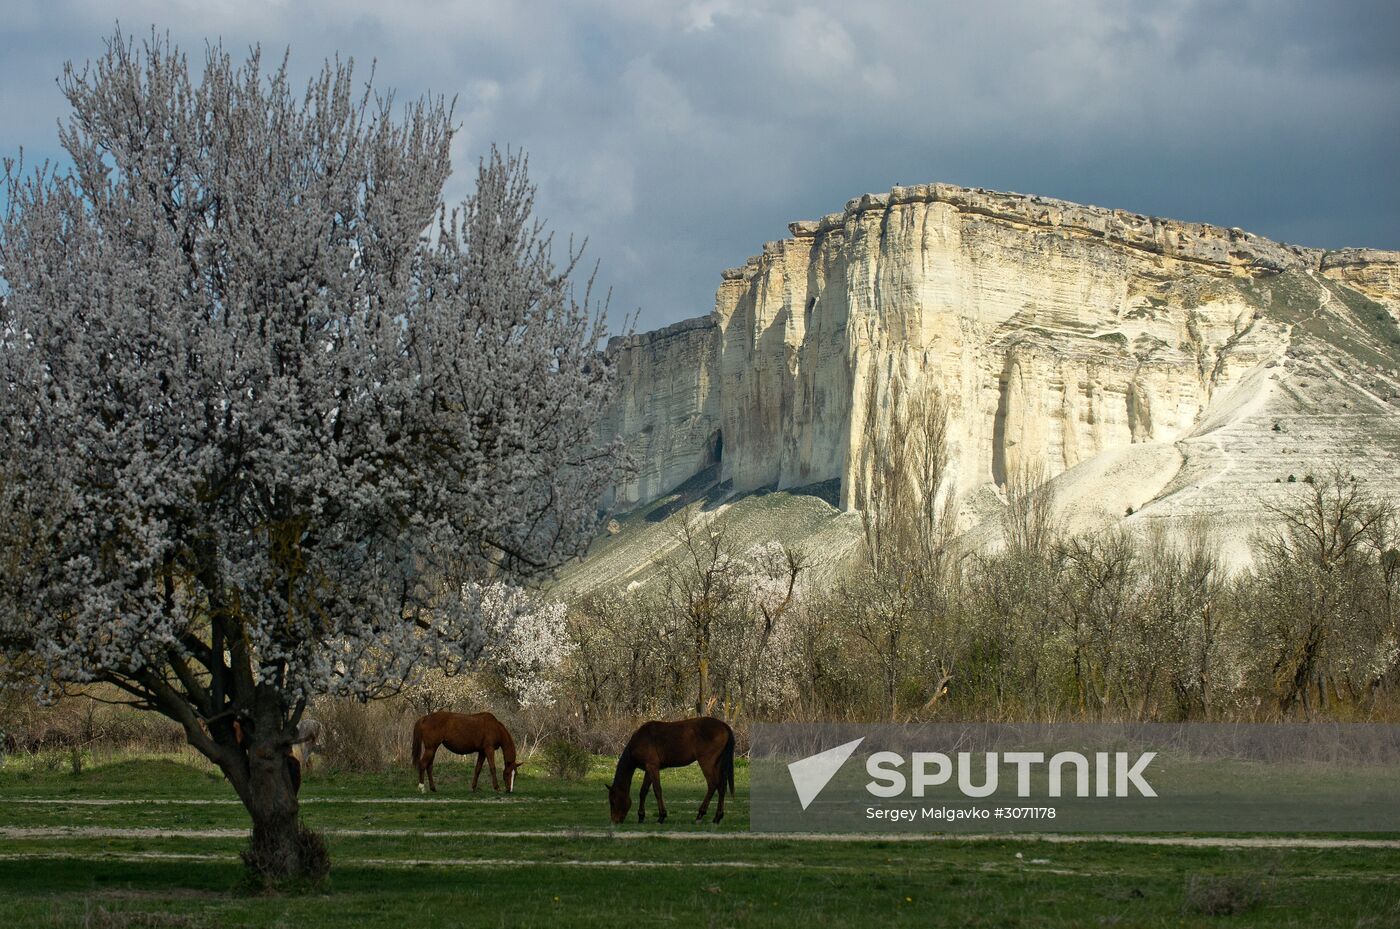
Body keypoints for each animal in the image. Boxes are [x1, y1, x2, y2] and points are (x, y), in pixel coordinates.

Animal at [604, 713, 733, 822]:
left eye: (613, 801)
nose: (614, 820)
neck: (639, 740)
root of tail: (724, 725)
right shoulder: (649, 769)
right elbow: (643, 791)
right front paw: (641, 816)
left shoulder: (652, 766)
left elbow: (657, 790)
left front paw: (661, 816)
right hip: (718, 763)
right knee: (721, 786)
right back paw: (717, 817)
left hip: (706, 762)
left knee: (712, 784)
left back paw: (700, 814)